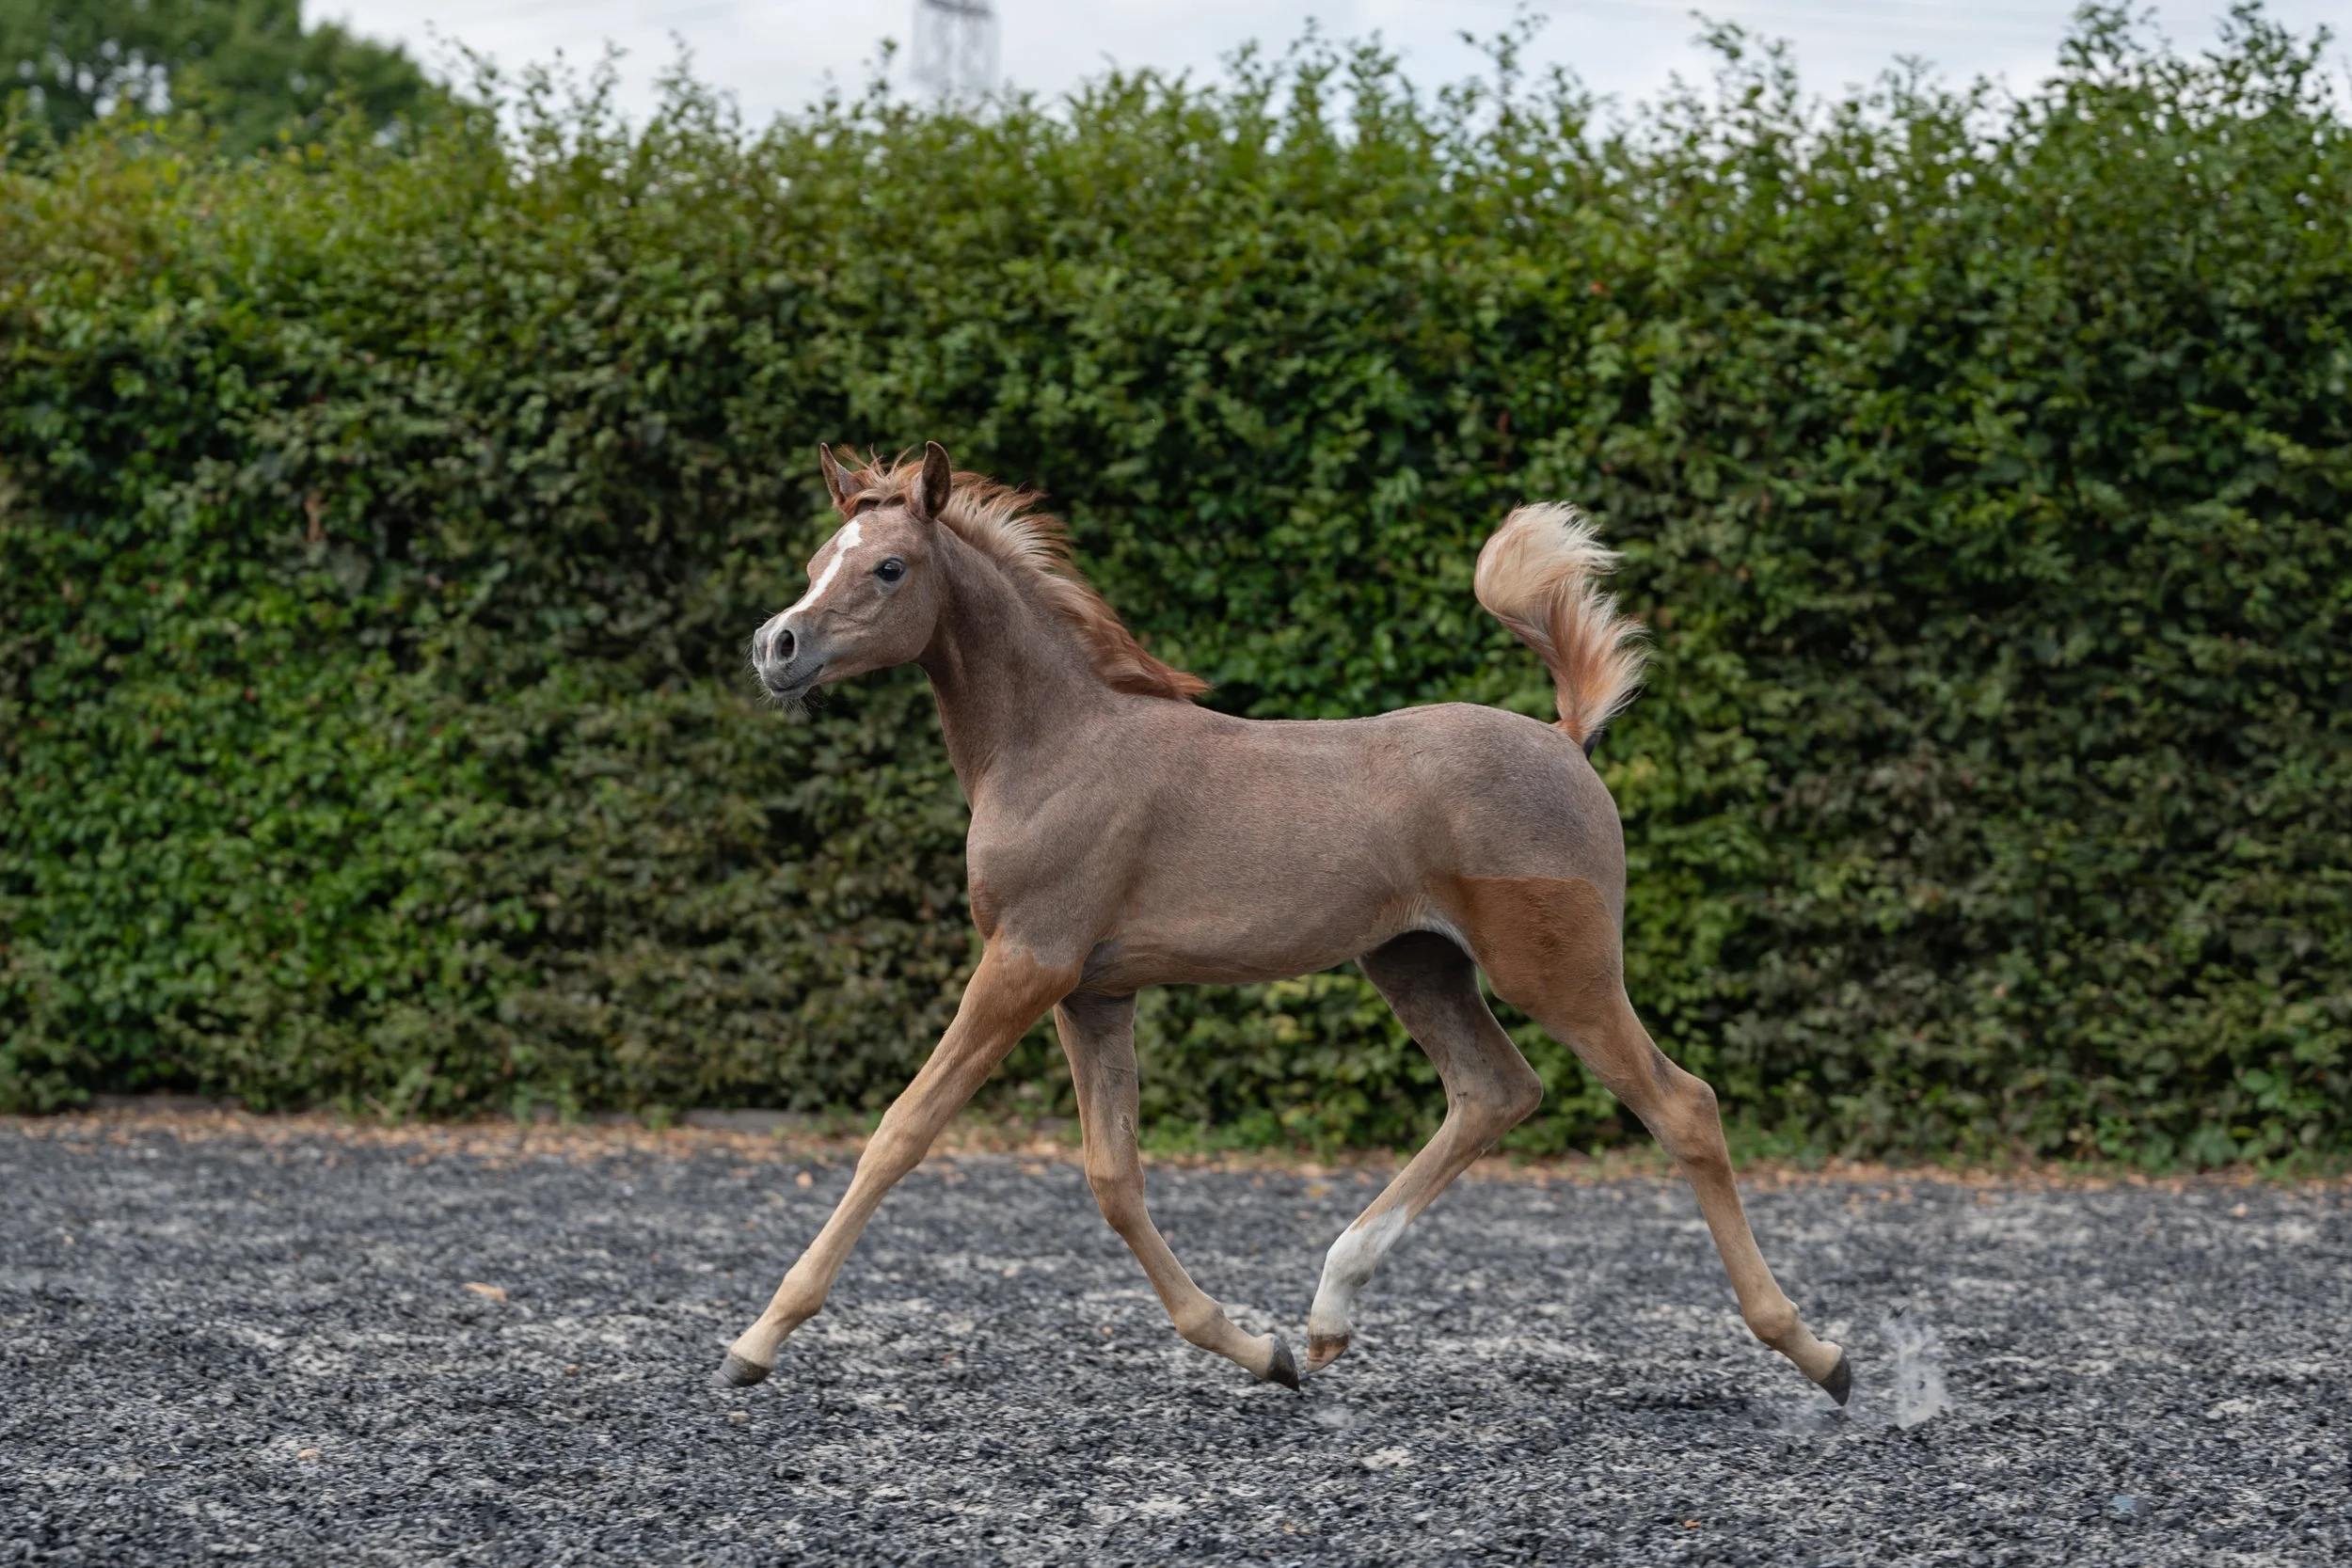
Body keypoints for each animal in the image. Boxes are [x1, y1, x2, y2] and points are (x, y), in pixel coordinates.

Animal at [718, 441, 1850, 1406]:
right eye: (818, 560)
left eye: (891, 568)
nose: (776, 646)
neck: (1055, 746)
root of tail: (1565, 738)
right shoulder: (1095, 989)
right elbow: (1113, 1175)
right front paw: (1256, 1350)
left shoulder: (1025, 965)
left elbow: (901, 1130)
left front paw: (756, 1339)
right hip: (1415, 963)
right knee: (1495, 1090)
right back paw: (1326, 1314)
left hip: (1555, 969)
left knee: (1682, 1104)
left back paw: (1816, 1350)